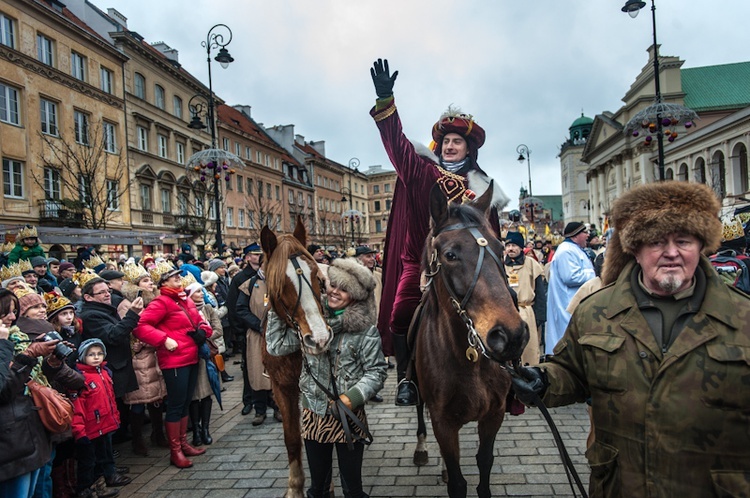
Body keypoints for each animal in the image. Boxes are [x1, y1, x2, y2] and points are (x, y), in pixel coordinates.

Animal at [260, 220, 330, 498]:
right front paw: (295, 487)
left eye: (317, 277)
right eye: (281, 285)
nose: (318, 339)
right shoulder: (282, 388)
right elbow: (292, 439)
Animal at [414, 184, 532, 498]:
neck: (469, 357)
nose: (511, 335)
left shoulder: (494, 415)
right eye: (450, 254)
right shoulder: (443, 422)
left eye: (501, 249)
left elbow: (484, 462)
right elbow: (457, 481)